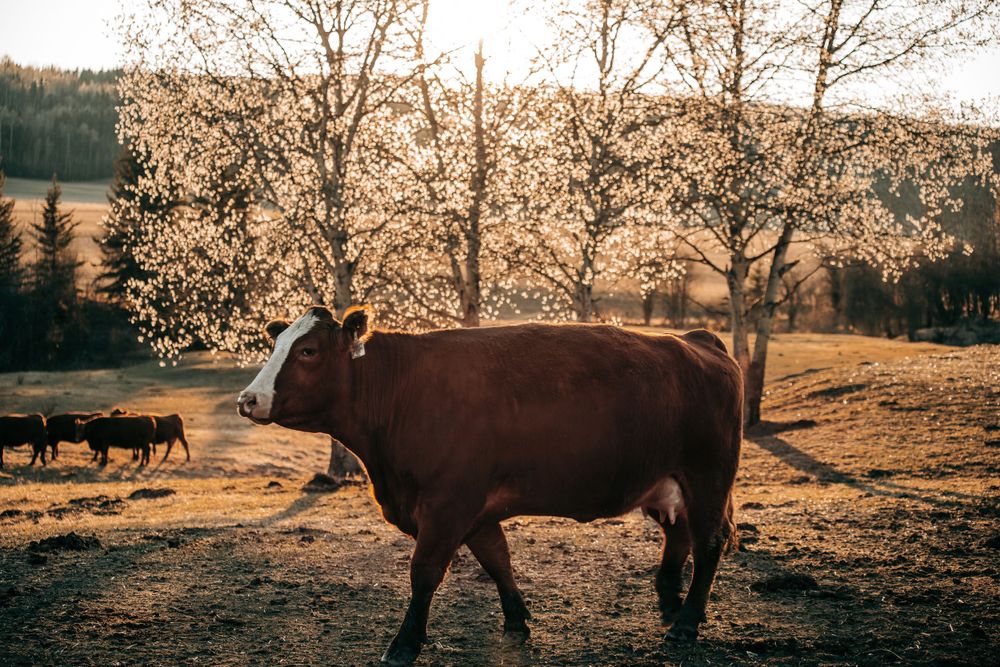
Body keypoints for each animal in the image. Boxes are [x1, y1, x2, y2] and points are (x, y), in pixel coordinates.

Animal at [237, 306, 743, 666]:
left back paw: (686, 623)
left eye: (307, 351)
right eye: (277, 344)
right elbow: (497, 559)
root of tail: (697, 339)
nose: (248, 399)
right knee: (679, 535)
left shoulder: (447, 504)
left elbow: (424, 572)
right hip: (667, 482)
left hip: (707, 476)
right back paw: (672, 602)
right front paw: (517, 620)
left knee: (708, 542)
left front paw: (404, 644)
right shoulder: (474, 509)